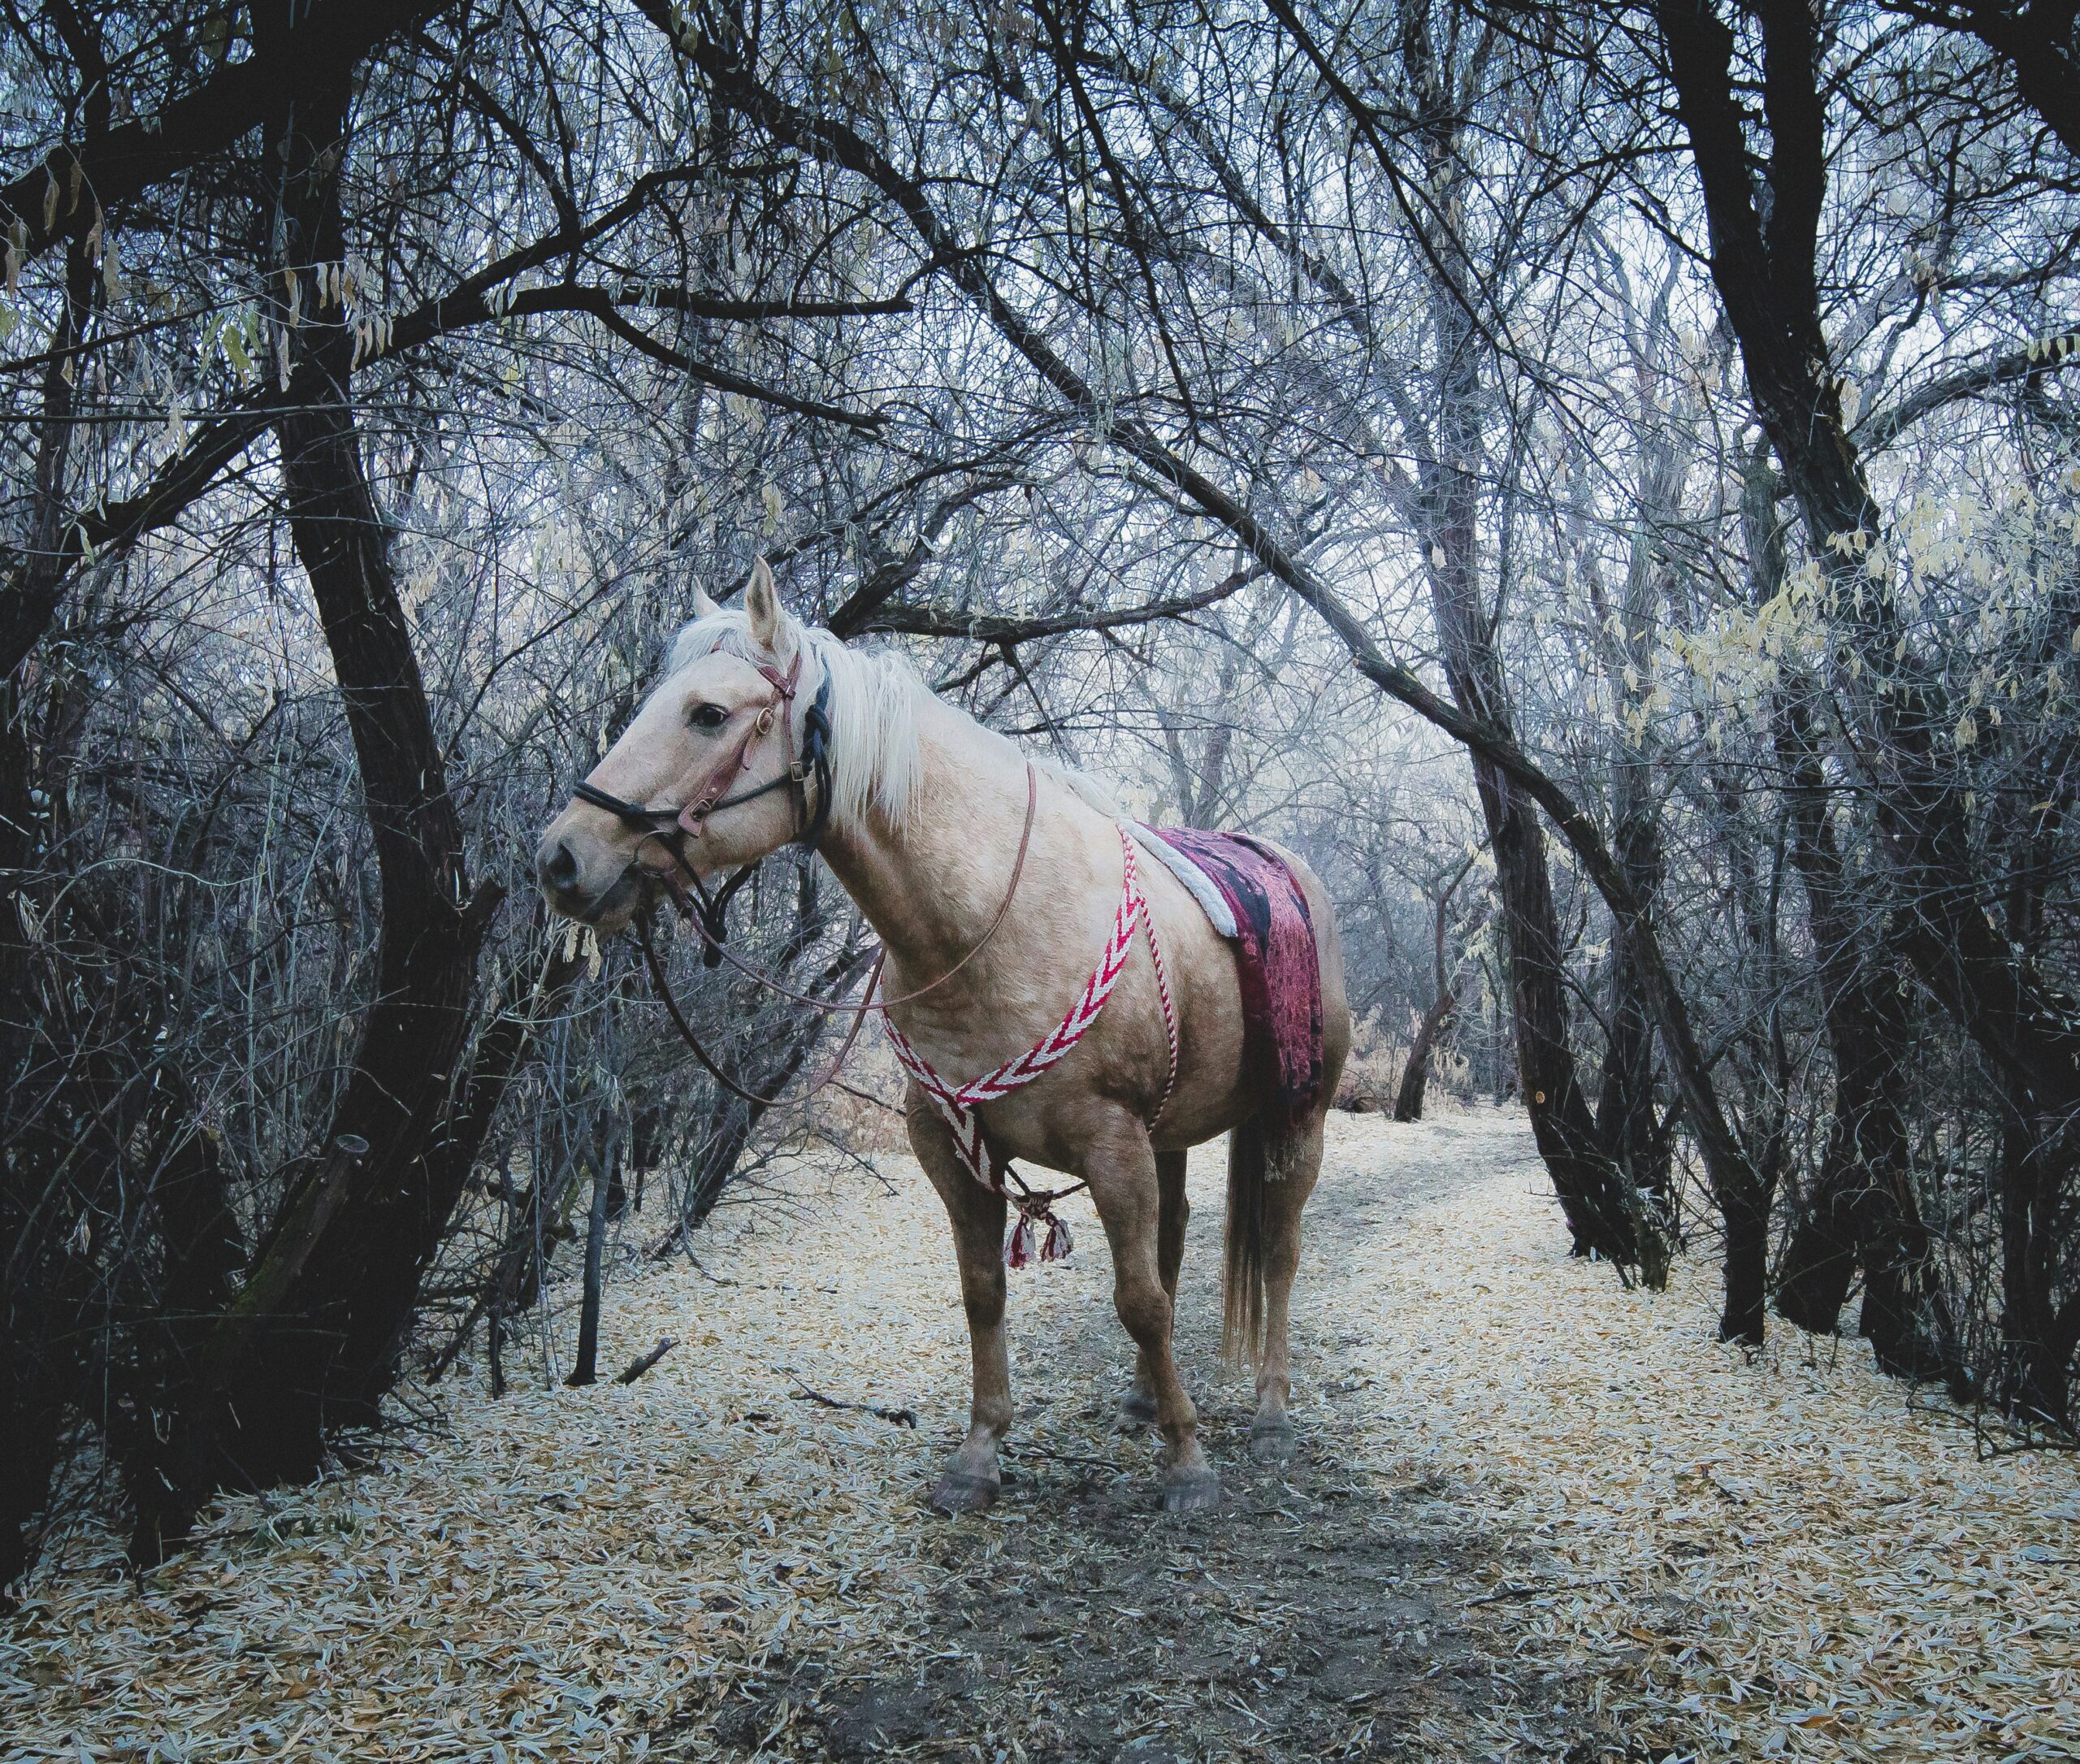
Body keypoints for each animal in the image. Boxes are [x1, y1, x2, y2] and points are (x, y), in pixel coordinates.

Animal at [536, 570, 1347, 1514]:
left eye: (708, 712)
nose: (561, 858)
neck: (998, 917)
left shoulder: (1112, 1145)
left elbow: (1138, 1300)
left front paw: (1187, 1465)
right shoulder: (953, 1144)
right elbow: (985, 1291)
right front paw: (980, 1453)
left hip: (1297, 1119)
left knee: (1279, 1251)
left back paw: (1270, 1410)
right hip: (1171, 1134)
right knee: (1176, 1234)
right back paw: (1148, 1396)